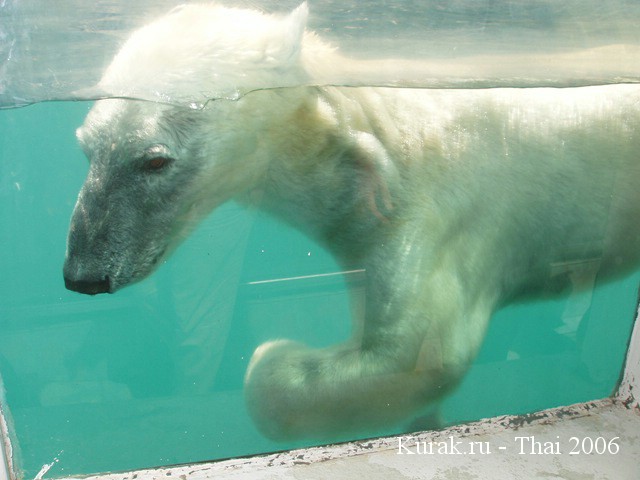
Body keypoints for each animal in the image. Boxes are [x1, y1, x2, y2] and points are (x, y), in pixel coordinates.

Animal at [63, 3, 640, 441]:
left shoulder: (430, 219)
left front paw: (278, 353)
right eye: (87, 147)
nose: (83, 275)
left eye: (155, 160)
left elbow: (422, 350)